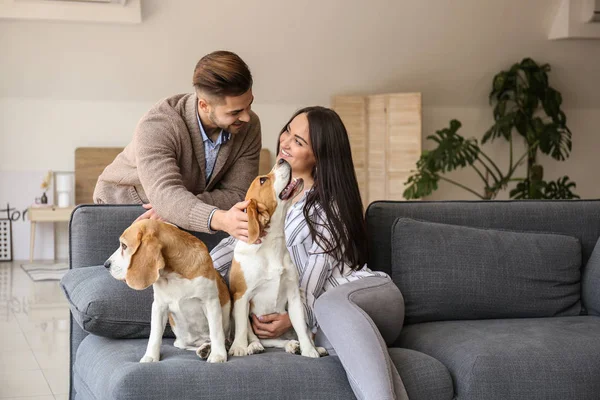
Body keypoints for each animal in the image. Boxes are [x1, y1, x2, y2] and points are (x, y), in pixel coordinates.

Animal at [104, 220, 231, 364]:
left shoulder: (210, 302)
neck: (174, 275)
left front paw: (218, 355)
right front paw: (150, 357)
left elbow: (216, 332)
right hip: (182, 342)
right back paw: (205, 348)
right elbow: (155, 335)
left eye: (124, 246)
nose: (106, 264)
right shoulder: (159, 306)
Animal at [227, 159, 328, 360]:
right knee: (254, 335)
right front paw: (239, 347)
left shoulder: (294, 297)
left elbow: (301, 327)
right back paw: (254, 346)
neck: (271, 244)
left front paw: (309, 350)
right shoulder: (241, 296)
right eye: (263, 180)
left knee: (284, 339)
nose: (281, 159)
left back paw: (296, 345)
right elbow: (242, 328)